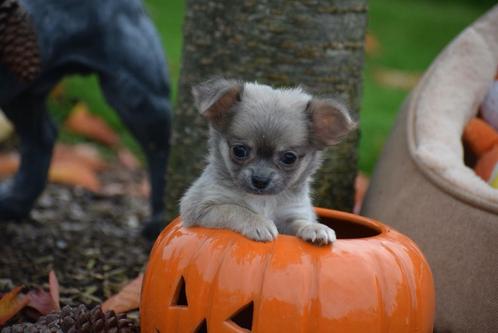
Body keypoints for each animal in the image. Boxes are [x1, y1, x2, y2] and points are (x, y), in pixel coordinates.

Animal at [181, 78, 356, 244]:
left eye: (289, 158)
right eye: (239, 151)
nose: (260, 180)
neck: (264, 200)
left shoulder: (289, 216)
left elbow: (300, 222)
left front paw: (315, 227)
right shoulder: (202, 207)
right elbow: (235, 209)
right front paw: (258, 223)